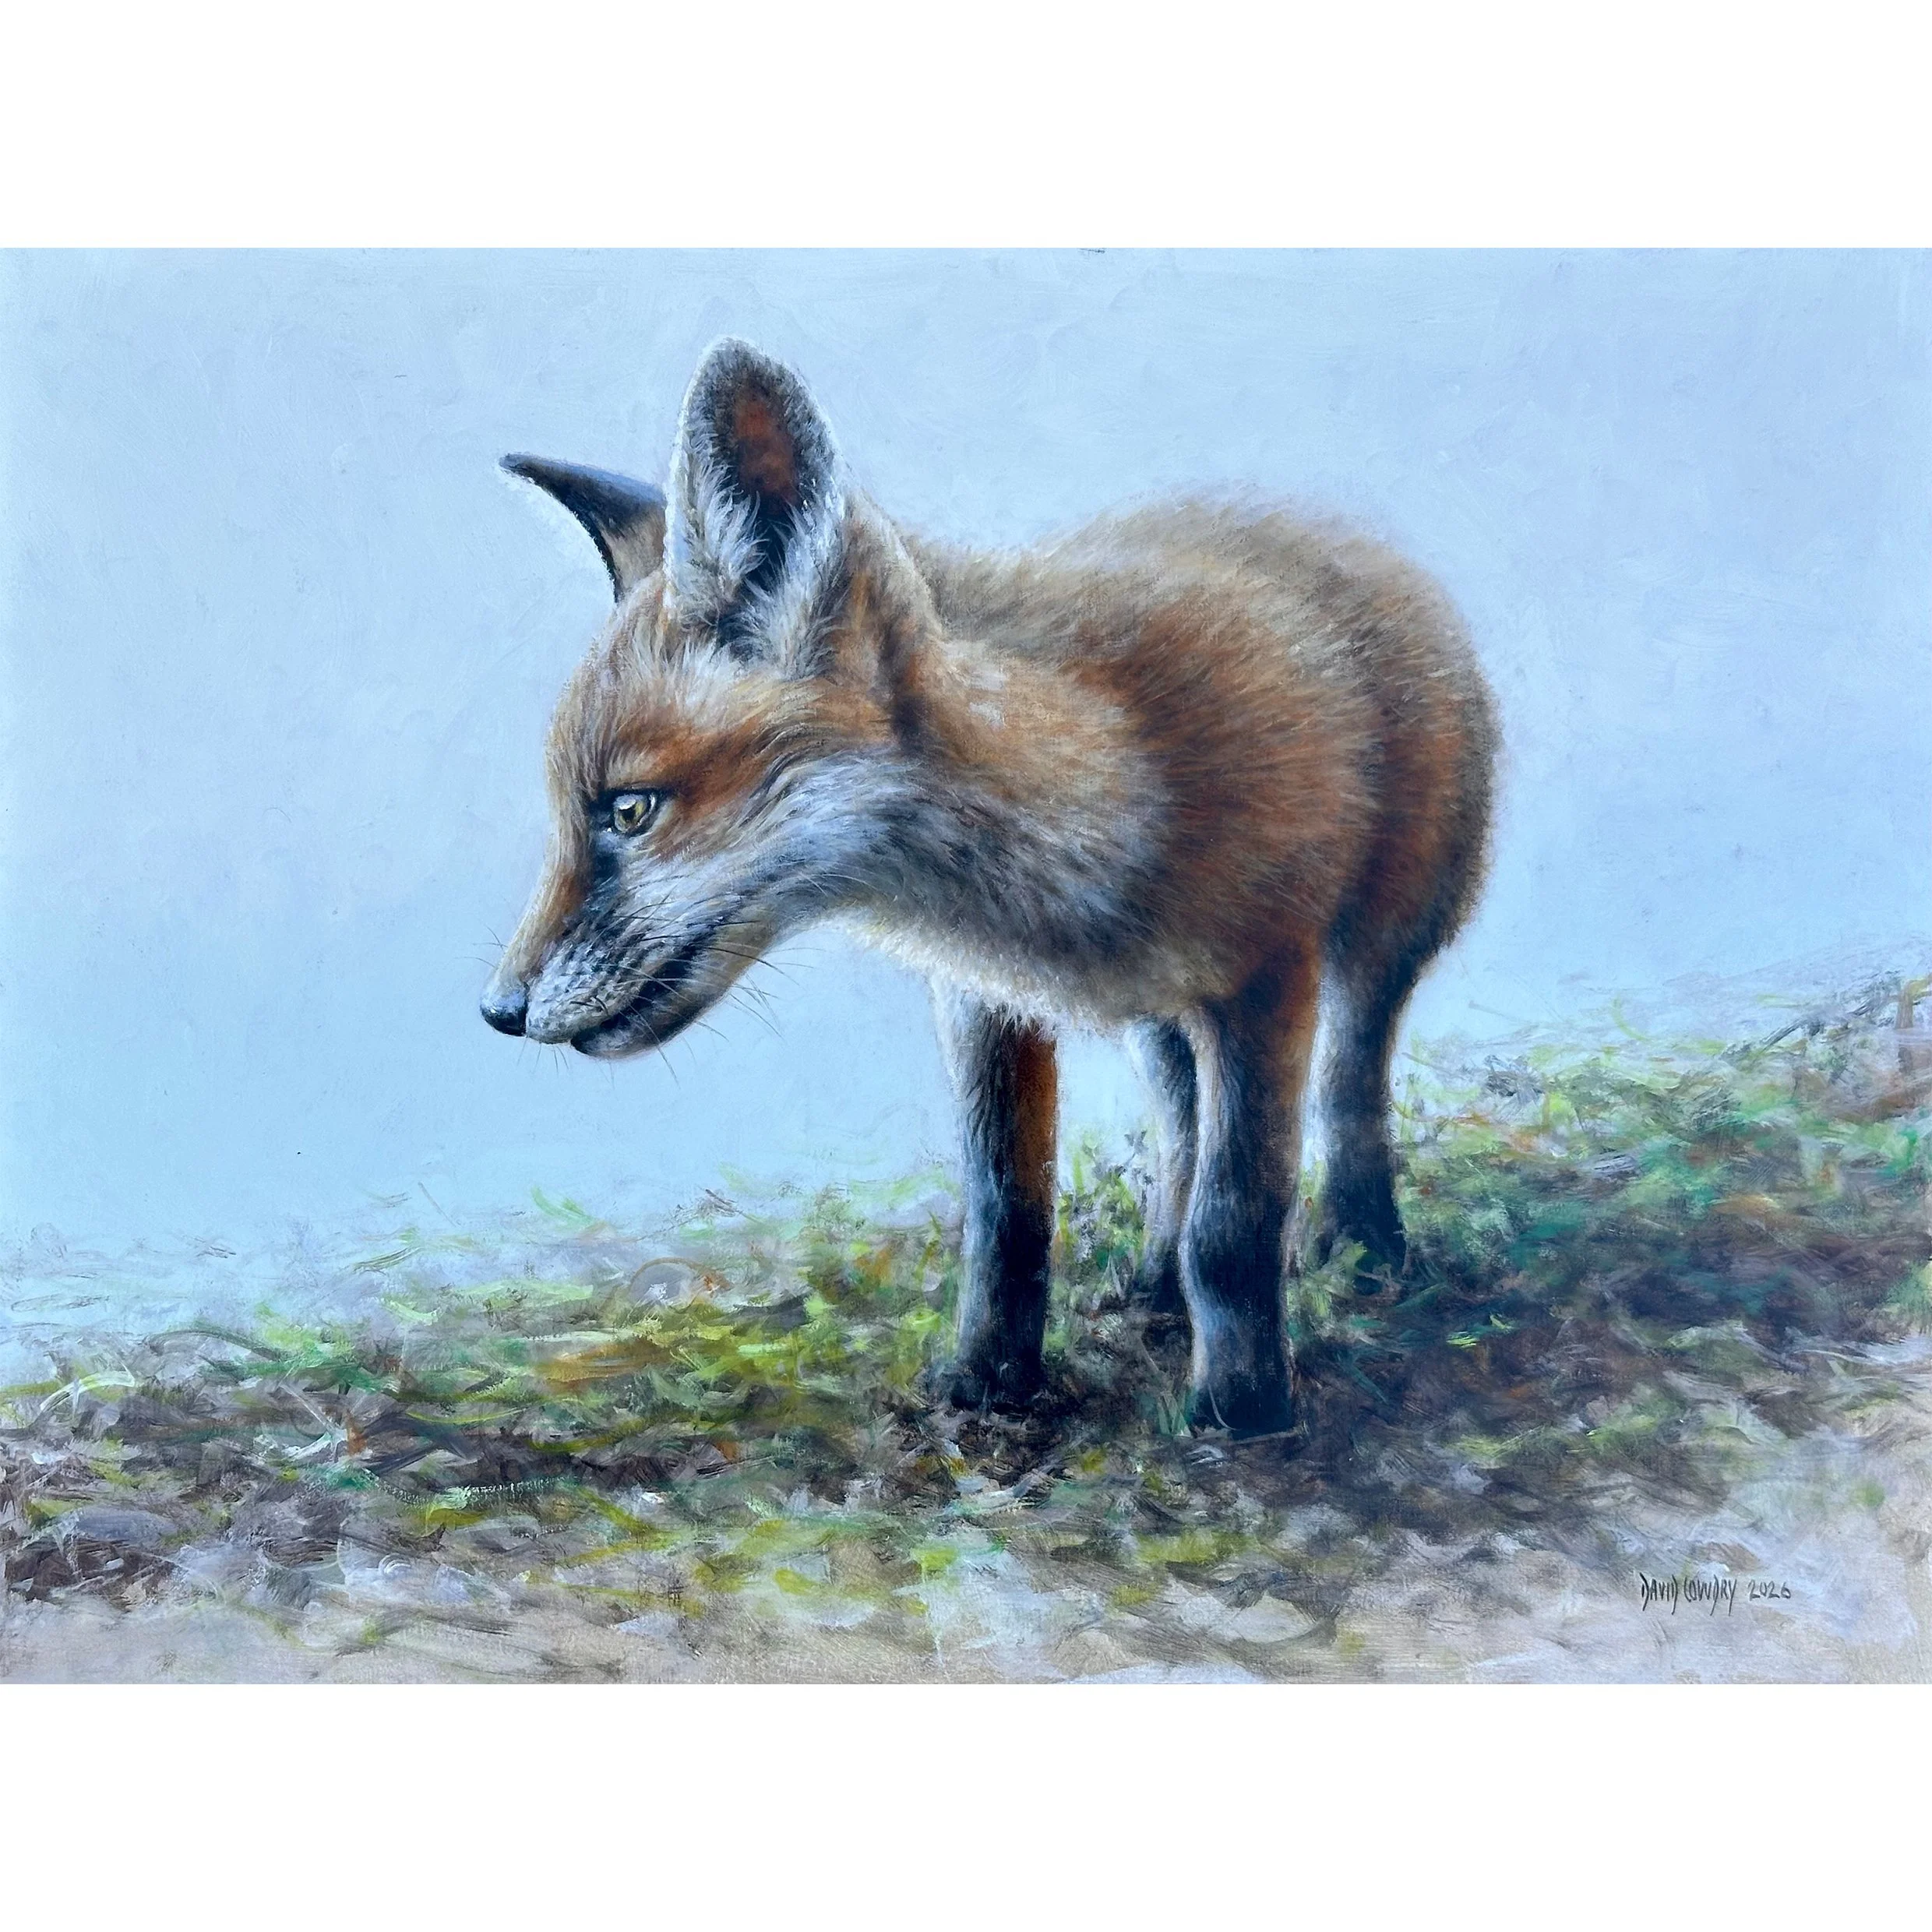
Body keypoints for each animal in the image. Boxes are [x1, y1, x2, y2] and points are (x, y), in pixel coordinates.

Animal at [482, 338, 1497, 1438]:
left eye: (629, 810)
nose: (498, 1010)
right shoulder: (984, 1003)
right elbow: (1008, 1215)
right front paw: (987, 1381)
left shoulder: (1266, 978)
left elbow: (1234, 1223)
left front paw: (1244, 1407)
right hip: (1158, 1019)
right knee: (1176, 1124)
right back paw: (1153, 1282)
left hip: (1377, 945)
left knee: (1351, 1089)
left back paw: (1363, 1247)